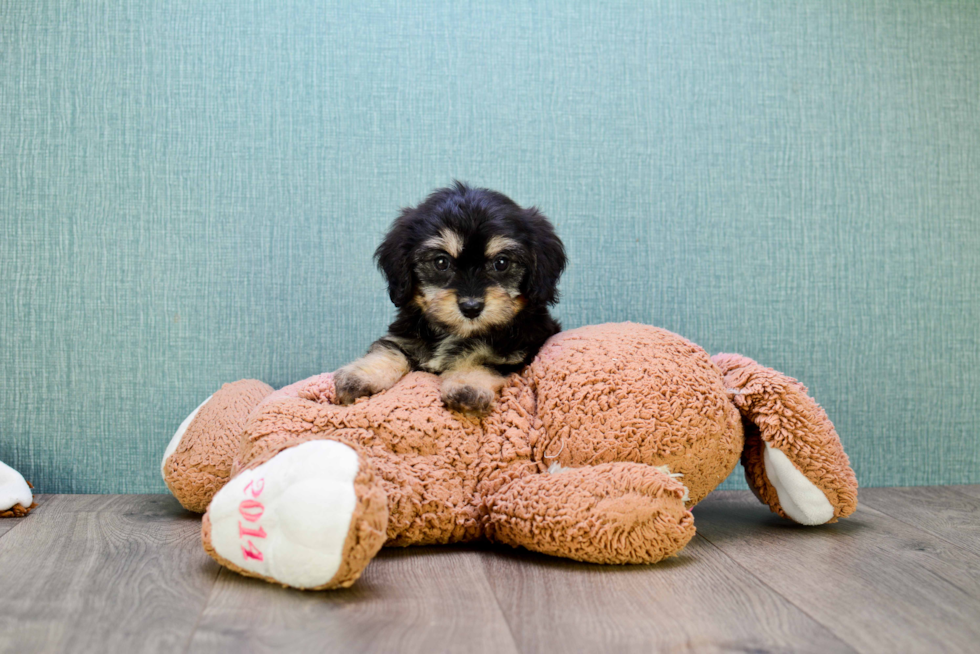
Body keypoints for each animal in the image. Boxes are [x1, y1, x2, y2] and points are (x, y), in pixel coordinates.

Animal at [334, 181, 568, 416]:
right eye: (441, 262)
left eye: (501, 263)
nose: (471, 307)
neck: (456, 333)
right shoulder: (406, 337)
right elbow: (389, 349)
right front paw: (358, 376)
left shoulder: (516, 350)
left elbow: (484, 360)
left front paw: (468, 387)